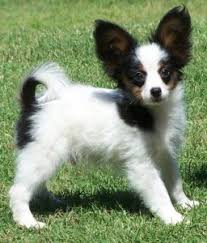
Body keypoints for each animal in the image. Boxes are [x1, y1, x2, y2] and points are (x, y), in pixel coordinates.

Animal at [9, 6, 199, 229]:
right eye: (138, 76)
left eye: (165, 72)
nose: (156, 91)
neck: (148, 113)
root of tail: (33, 104)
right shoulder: (141, 163)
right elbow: (159, 191)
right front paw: (174, 218)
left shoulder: (166, 153)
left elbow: (174, 181)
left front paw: (186, 203)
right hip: (43, 153)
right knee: (19, 190)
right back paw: (28, 222)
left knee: (35, 183)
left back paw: (51, 202)